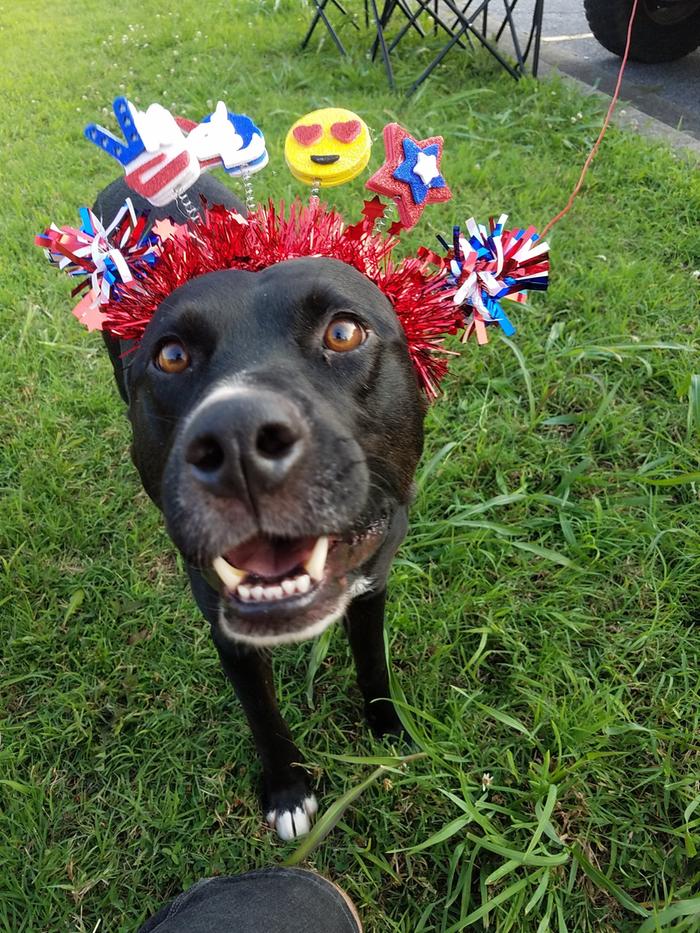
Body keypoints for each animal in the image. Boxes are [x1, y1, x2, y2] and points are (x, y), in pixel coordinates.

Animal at [93, 174, 427, 840]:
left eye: (344, 332)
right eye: (171, 355)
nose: (238, 439)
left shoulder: (372, 586)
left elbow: (373, 666)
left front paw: (388, 733)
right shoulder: (230, 630)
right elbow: (263, 716)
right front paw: (288, 792)